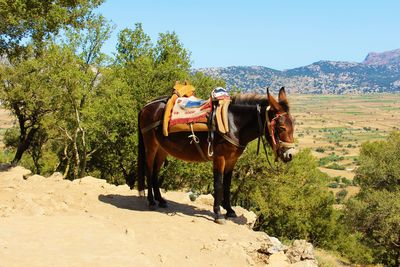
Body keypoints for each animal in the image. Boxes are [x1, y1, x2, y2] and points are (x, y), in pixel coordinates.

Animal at [130, 87, 296, 224]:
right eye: (281, 127)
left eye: (293, 126)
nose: (290, 155)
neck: (233, 123)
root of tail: (146, 106)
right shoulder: (219, 158)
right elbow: (219, 184)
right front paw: (218, 214)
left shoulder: (232, 160)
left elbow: (227, 184)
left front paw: (230, 211)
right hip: (151, 146)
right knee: (149, 169)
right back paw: (151, 202)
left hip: (162, 149)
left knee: (155, 171)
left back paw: (160, 200)